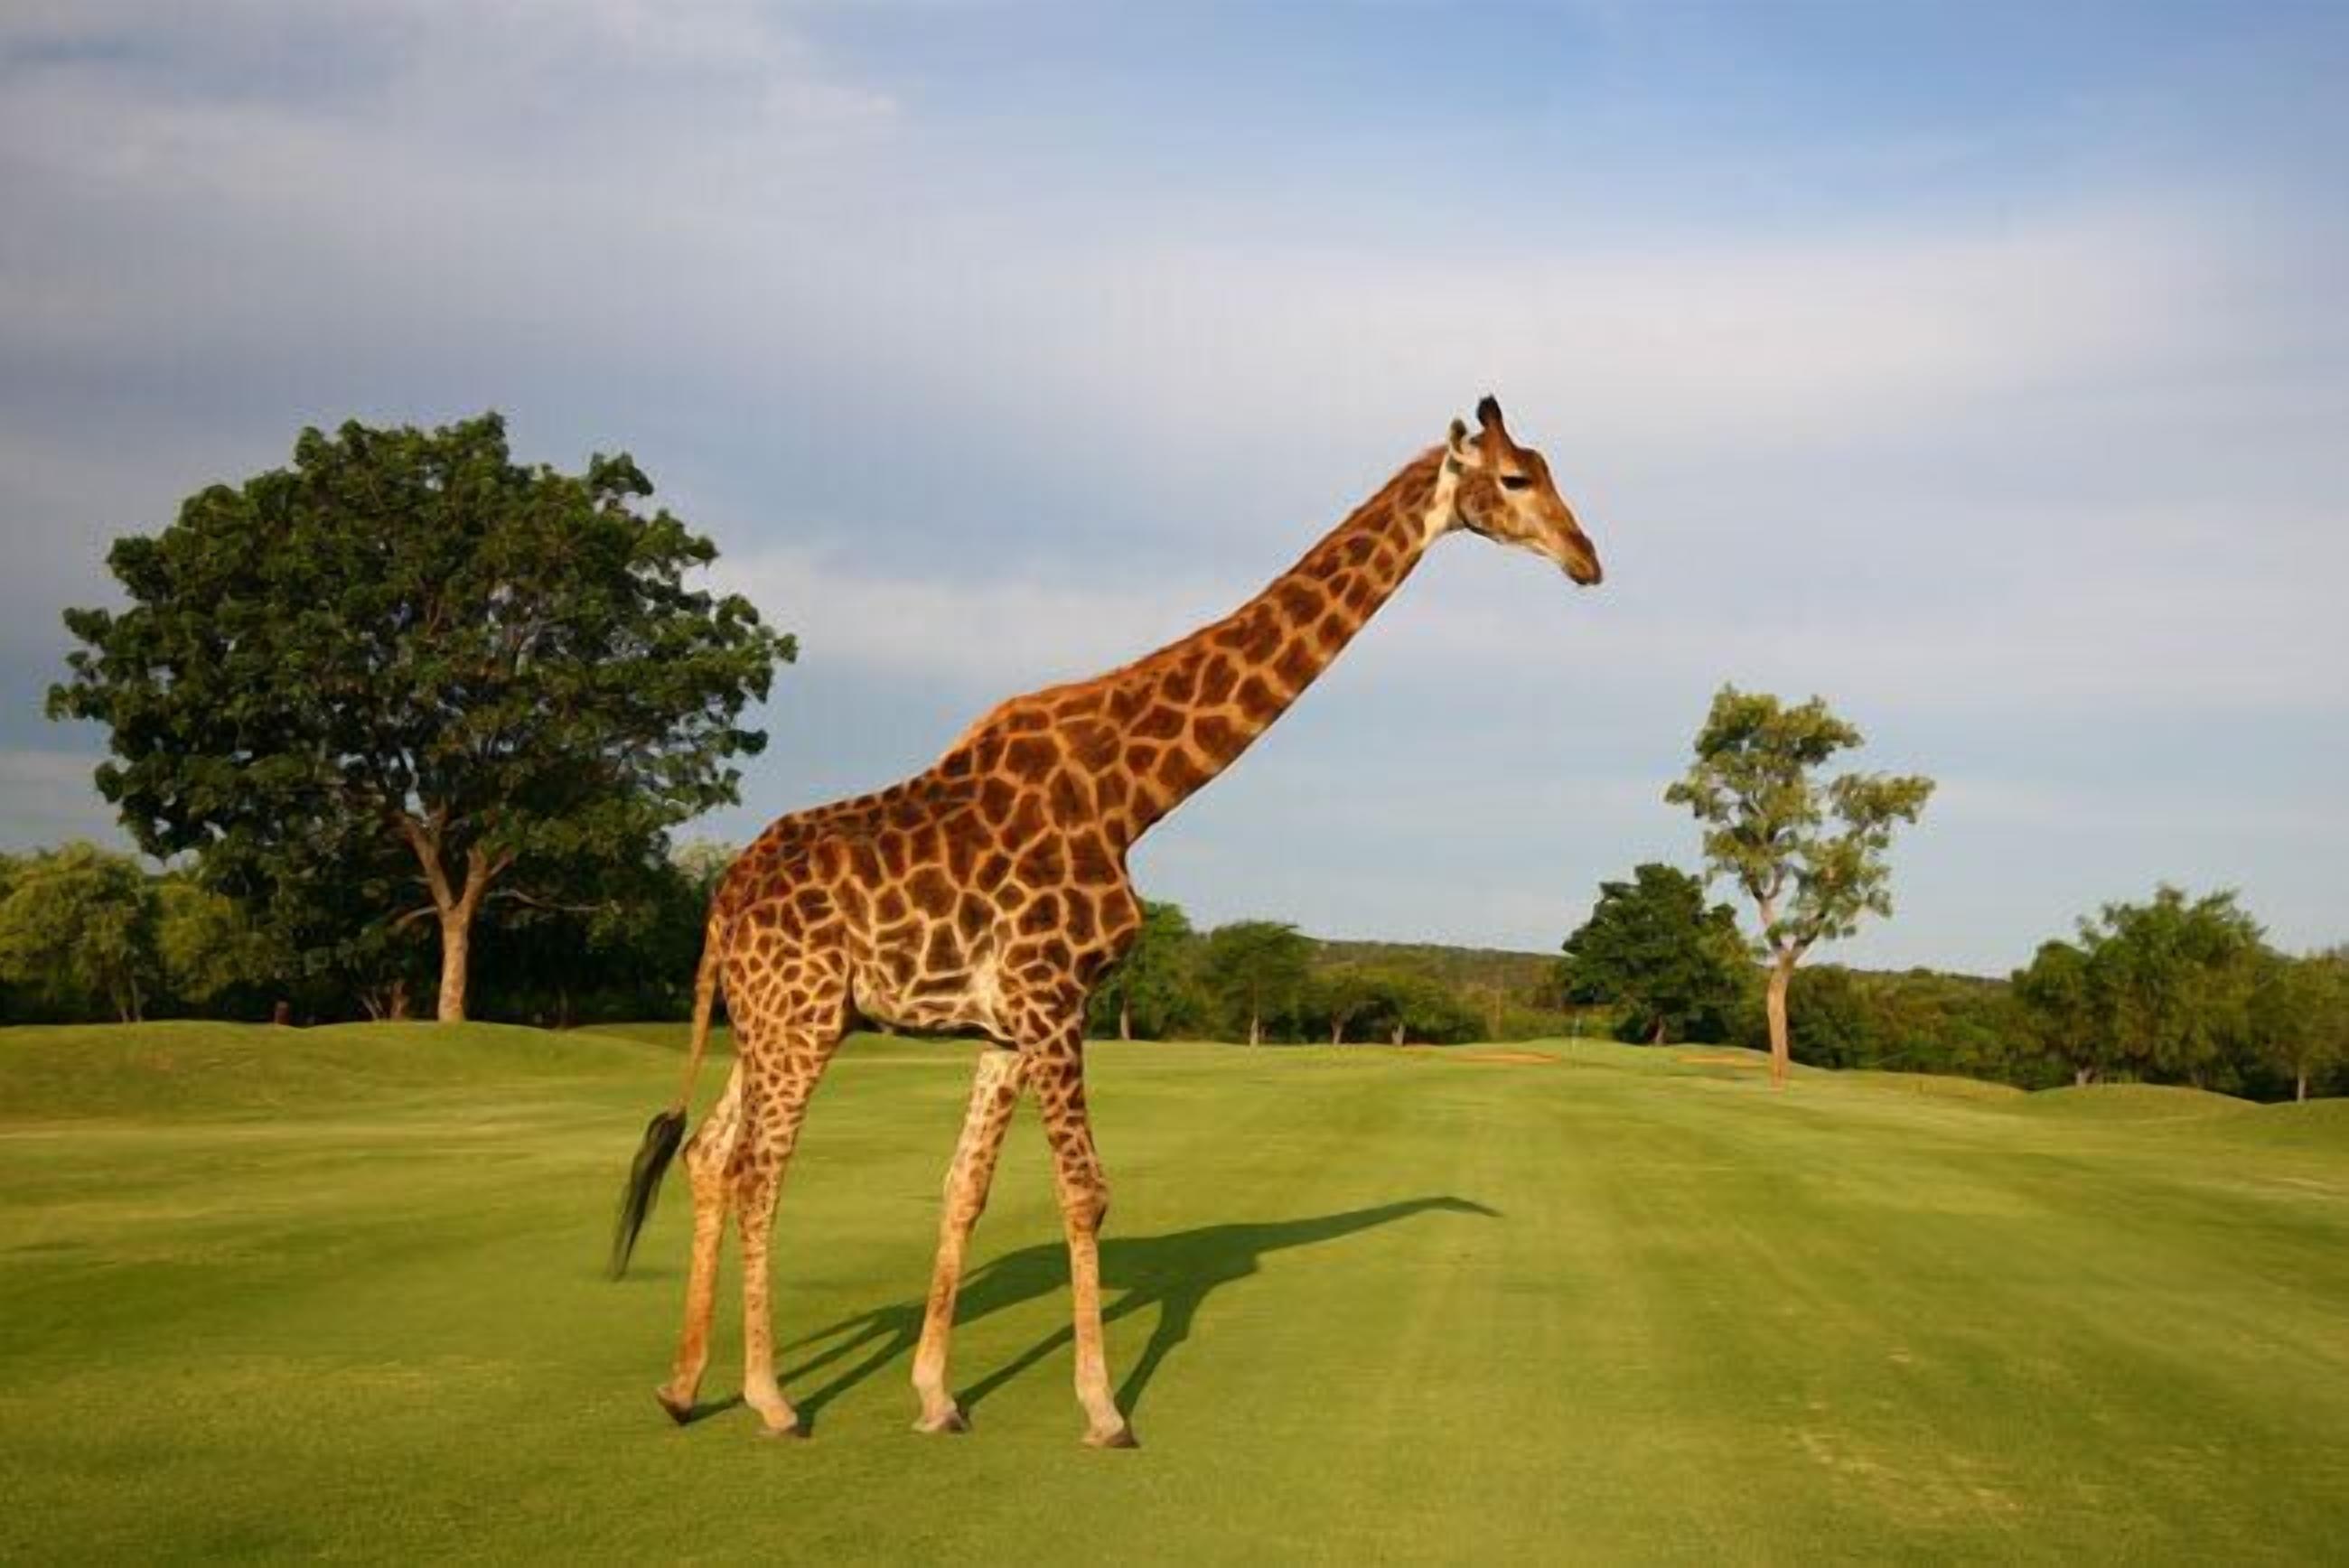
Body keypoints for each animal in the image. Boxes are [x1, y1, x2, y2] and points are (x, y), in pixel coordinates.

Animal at [610, 395, 1602, 1447]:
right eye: (1514, 479)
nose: (1587, 558)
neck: (1131, 794)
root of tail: (720, 903)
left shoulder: (1006, 1024)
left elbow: (964, 1191)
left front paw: (937, 1396)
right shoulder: (1055, 996)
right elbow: (1085, 1192)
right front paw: (1103, 1407)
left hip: (775, 1019)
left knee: (710, 1153)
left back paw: (683, 1385)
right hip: (798, 1018)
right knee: (758, 1166)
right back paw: (770, 1396)